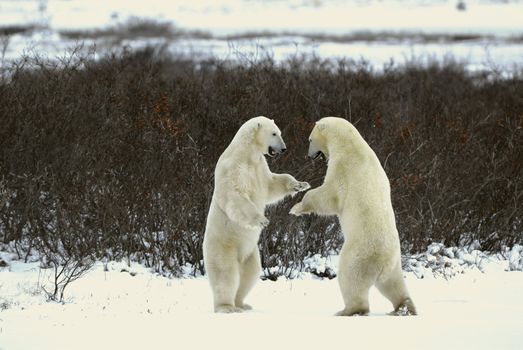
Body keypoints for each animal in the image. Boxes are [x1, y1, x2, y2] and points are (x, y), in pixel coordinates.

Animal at [204, 116, 312, 314]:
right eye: (274, 133)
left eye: (279, 132)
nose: (283, 149)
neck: (247, 153)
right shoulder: (234, 168)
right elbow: (235, 195)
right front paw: (262, 220)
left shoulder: (259, 167)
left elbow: (273, 184)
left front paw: (300, 184)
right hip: (223, 246)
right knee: (226, 275)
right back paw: (227, 307)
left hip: (250, 252)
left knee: (251, 273)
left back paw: (242, 304)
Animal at [290, 116, 418, 316]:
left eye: (310, 140)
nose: (309, 156)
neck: (350, 144)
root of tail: (384, 261)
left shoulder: (343, 168)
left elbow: (330, 196)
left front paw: (296, 207)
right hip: (395, 265)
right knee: (393, 285)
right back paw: (404, 307)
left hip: (359, 255)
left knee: (350, 279)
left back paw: (348, 310)